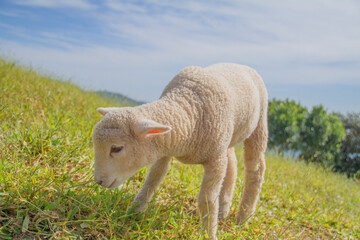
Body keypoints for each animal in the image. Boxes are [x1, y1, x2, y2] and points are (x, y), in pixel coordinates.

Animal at [93, 62, 268, 239]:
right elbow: (154, 177)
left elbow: (206, 199)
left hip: (259, 124)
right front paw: (134, 212)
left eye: (116, 148)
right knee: (232, 164)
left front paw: (209, 233)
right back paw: (223, 210)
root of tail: (240, 64)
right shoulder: (165, 145)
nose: (98, 181)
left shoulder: (215, 158)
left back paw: (243, 218)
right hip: (229, 136)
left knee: (255, 170)